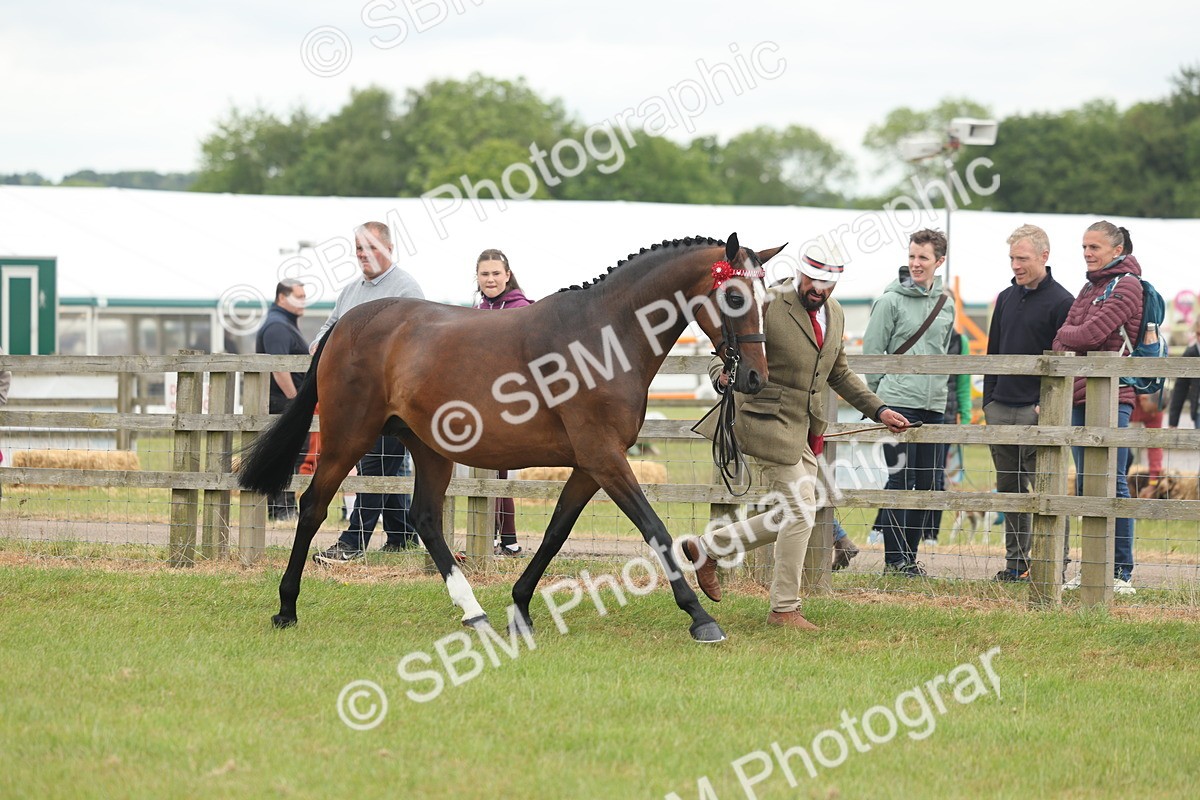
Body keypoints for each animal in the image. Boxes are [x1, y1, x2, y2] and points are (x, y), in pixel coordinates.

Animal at [237, 233, 783, 642]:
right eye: (735, 297)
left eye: (766, 301)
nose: (755, 377)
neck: (605, 337)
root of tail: (348, 321)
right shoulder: (604, 458)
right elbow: (656, 530)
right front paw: (701, 617)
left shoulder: (589, 465)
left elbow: (556, 533)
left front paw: (520, 608)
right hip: (349, 436)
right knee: (312, 506)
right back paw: (286, 608)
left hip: (429, 448)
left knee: (425, 519)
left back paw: (473, 612)